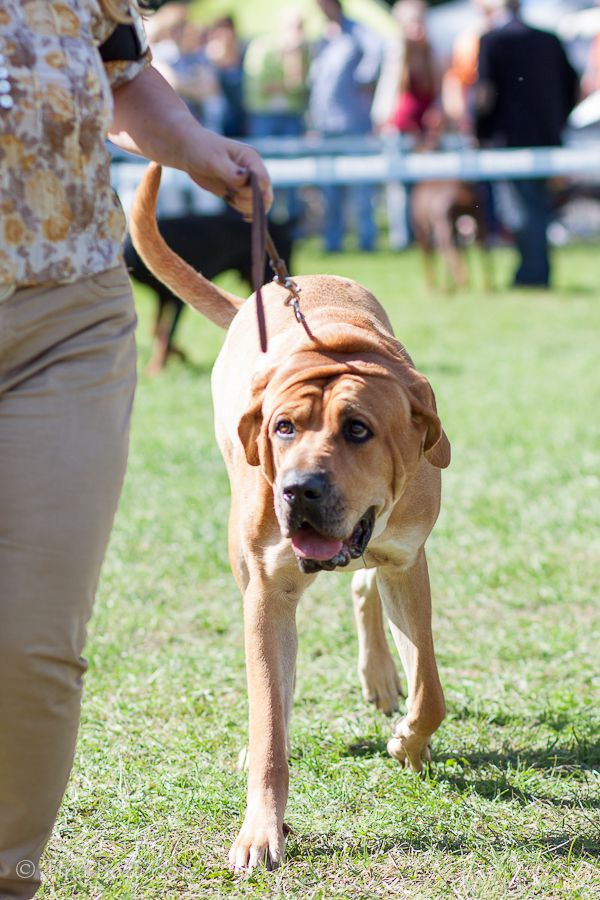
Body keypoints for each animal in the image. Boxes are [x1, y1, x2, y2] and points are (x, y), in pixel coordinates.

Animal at [123, 213, 293, 374]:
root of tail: (281, 226)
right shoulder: (163, 297)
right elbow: (156, 330)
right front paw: (179, 355)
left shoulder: (176, 301)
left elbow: (166, 334)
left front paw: (157, 368)